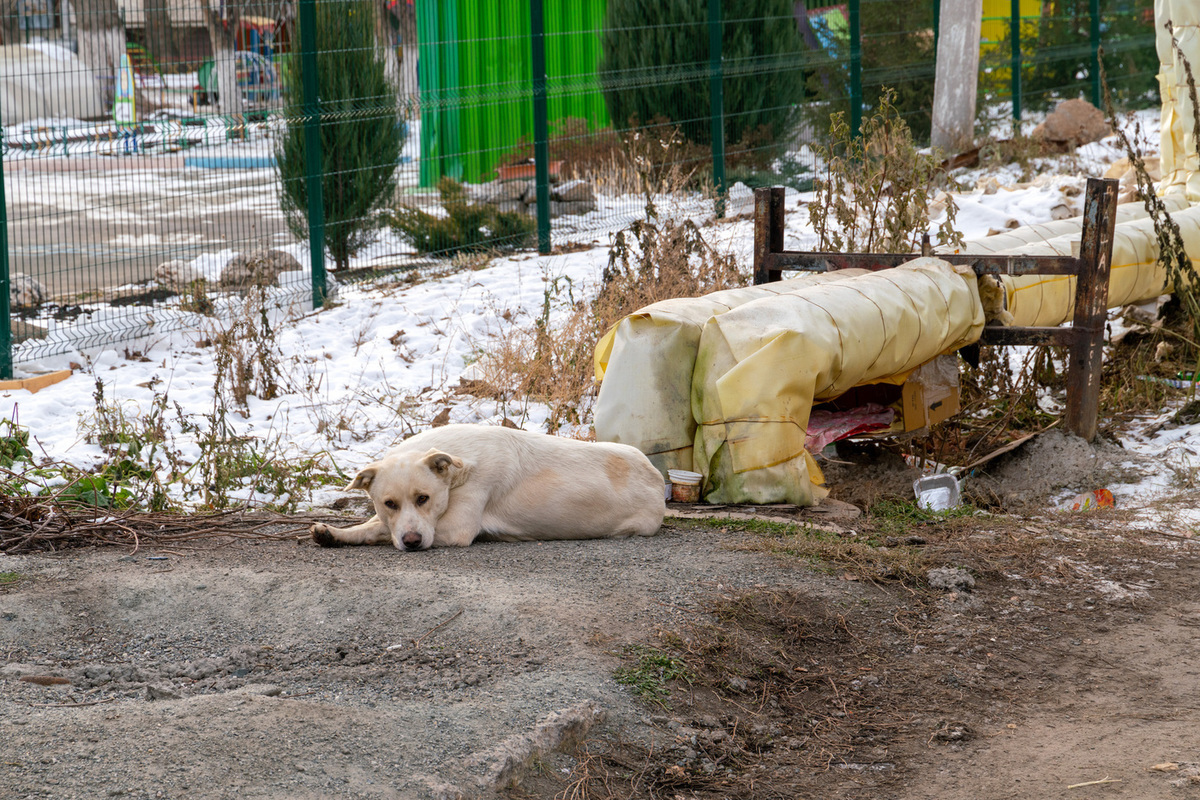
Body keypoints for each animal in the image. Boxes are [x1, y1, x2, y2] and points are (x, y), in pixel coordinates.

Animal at [309, 424, 667, 551]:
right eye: (389, 504)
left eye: (424, 498)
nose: (412, 542)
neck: (458, 468)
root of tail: (657, 476)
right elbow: (375, 525)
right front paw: (334, 533)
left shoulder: (455, 529)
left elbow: (380, 530)